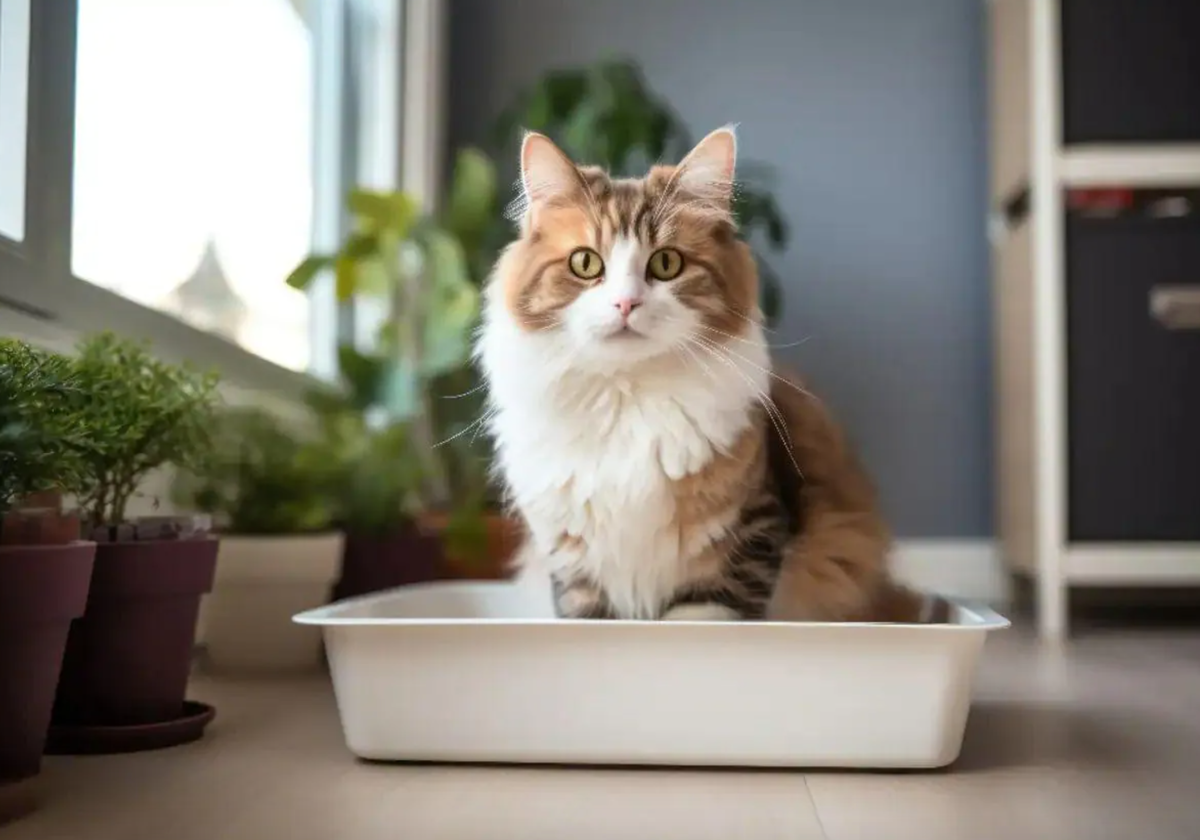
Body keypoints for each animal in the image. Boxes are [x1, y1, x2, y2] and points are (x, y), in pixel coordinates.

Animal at [477, 124, 926, 624]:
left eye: (666, 264)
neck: (627, 401)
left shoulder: (746, 540)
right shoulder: (575, 569)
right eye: (586, 263)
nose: (625, 304)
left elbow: (698, 620)